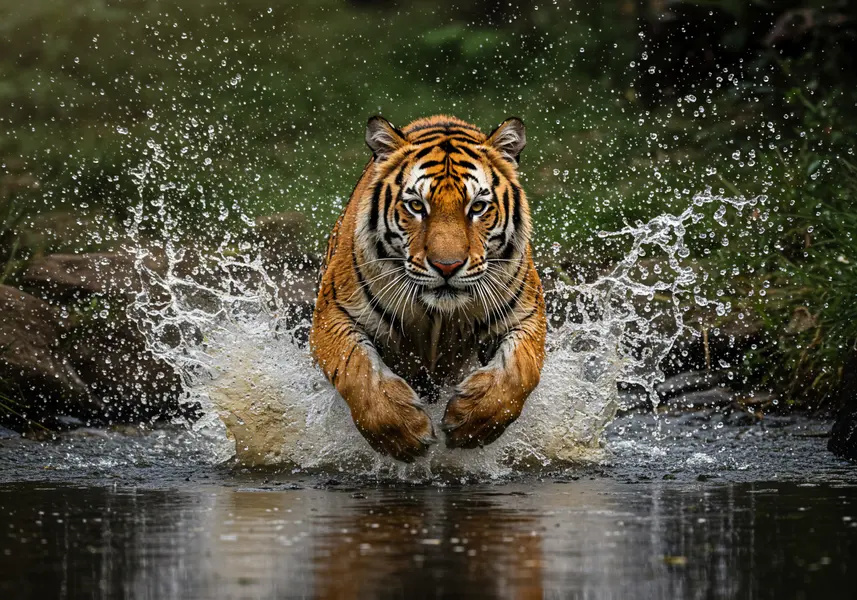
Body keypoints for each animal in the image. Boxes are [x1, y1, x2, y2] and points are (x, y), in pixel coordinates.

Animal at [310, 115, 546, 462]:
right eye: (416, 206)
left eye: (478, 207)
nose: (447, 266)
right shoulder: (335, 315)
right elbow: (359, 374)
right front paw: (403, 435)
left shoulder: (526, 315)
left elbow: (519, 373)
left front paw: (470, 424)